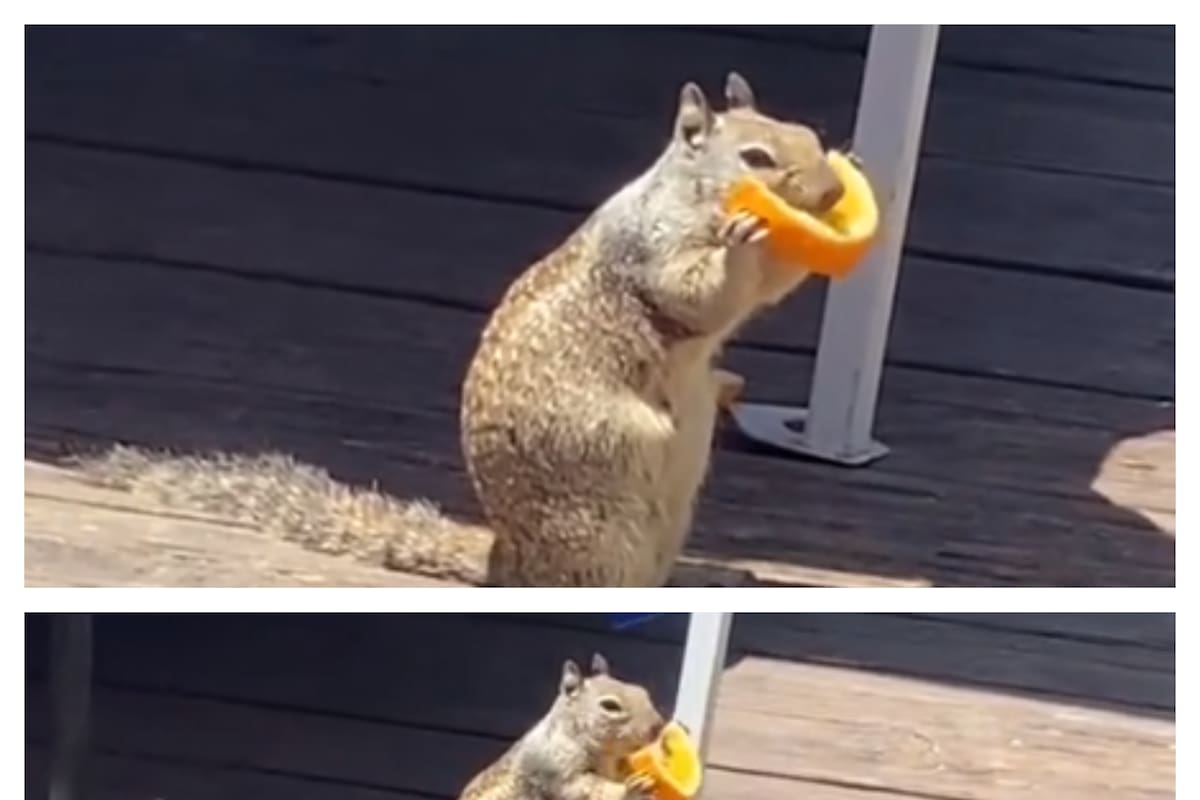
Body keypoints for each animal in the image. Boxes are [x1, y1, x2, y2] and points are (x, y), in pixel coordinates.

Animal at [75, 72, 844, 587]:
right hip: (600, 528)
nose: (835, 191)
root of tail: (507, 560)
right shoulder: (650, 251)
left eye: (811, 137)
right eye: (754, 158)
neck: (686, 194)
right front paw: (743, 241)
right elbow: (697, 294)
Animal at [458, 653, 665, 800]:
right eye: (610, 706)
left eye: (641, 691)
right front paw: (630, 790)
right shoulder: (555, 768)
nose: (658, 727)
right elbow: (584, 788)